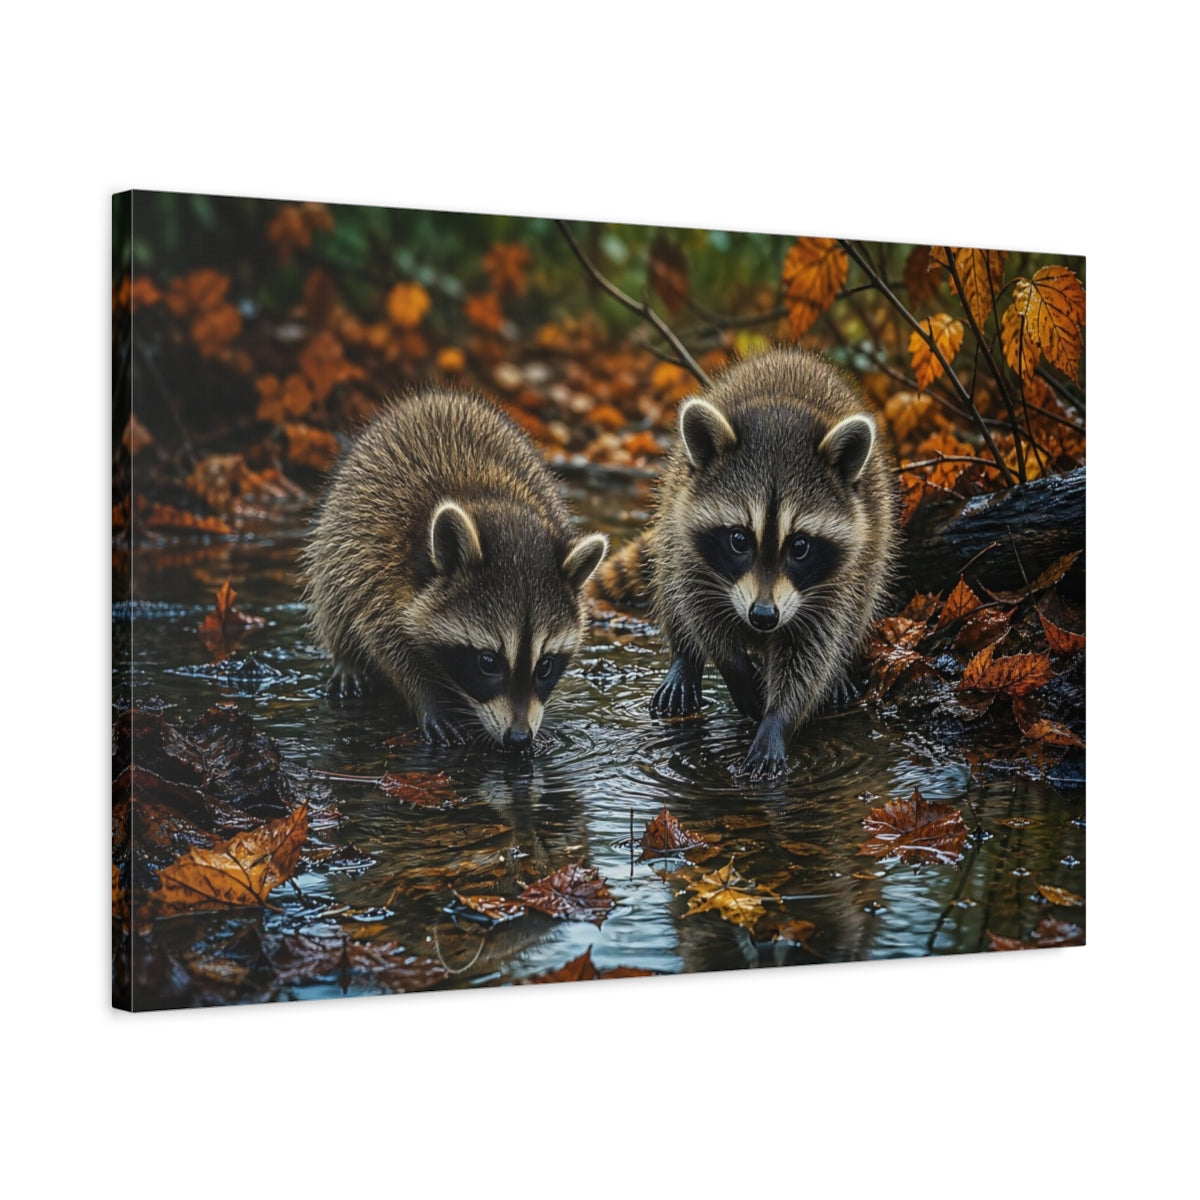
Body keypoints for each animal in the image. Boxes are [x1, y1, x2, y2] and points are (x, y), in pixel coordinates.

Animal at [302, 390, 608, 752]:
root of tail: (436, 397)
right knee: (333, 593)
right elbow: (385, 643)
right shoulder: (379, 571)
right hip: (338, 532)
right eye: (487, 662)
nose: (518, 738)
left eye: (545, 666)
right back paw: (346, 657)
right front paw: (427, 697)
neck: (493, 502)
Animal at [639, 348, 898, 779]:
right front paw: (736, 673)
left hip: (875, 541)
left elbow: (812, 649)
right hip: (674, 503)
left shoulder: (833, 585)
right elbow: (701, 611)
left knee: (862, 602)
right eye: (739, 539)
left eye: (801, 546)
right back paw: (684, 659)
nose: (763, 616)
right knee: (669, 580)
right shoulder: (695, 555)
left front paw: (778, 719)